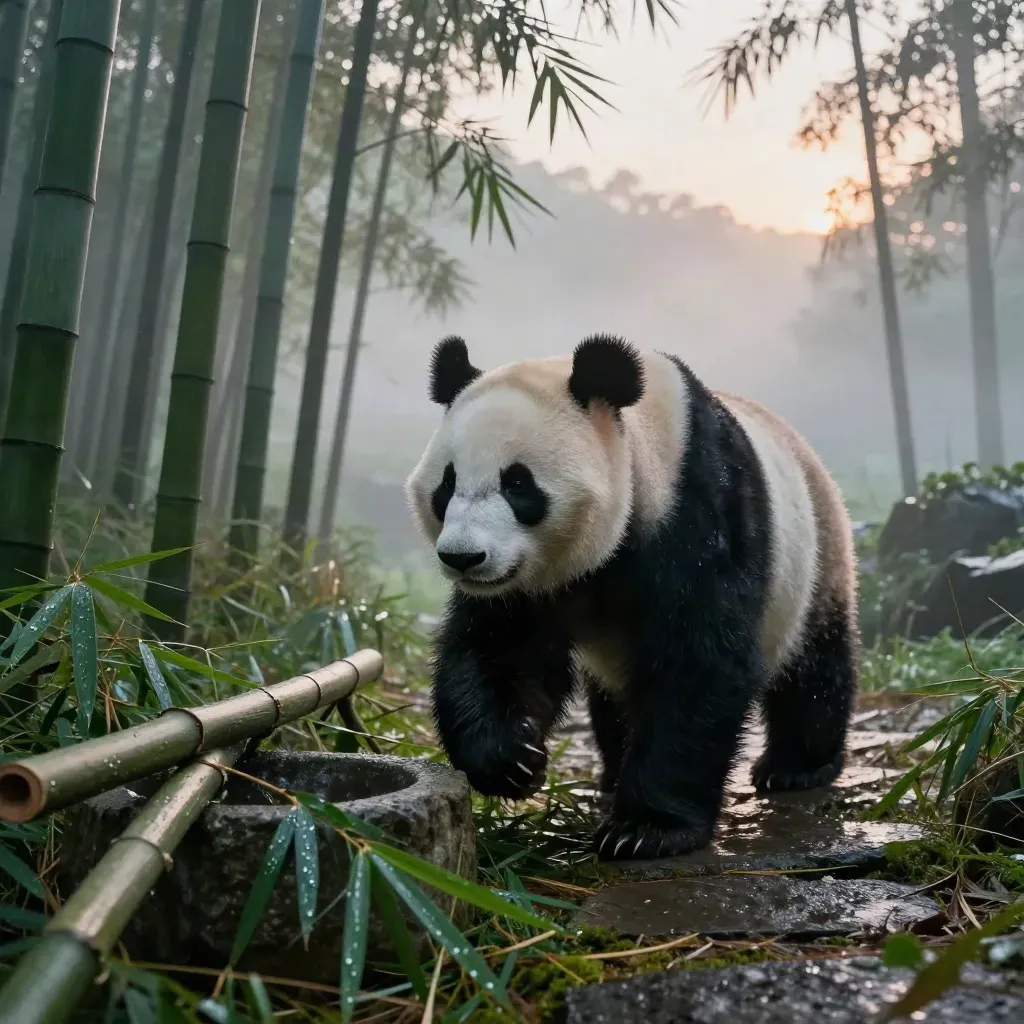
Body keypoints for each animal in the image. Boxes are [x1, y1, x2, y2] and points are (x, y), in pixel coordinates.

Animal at [405, 334, 859, 861]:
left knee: (813, 666)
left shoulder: (697, 511)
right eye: (447, 484)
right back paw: (612, 770)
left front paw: (646, 830)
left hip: (816, 560)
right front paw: (511, 759)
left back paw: (797, 767)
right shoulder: (525, 584)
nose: (463, 557)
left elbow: (697, 663)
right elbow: (500, 647)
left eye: (517, 483)